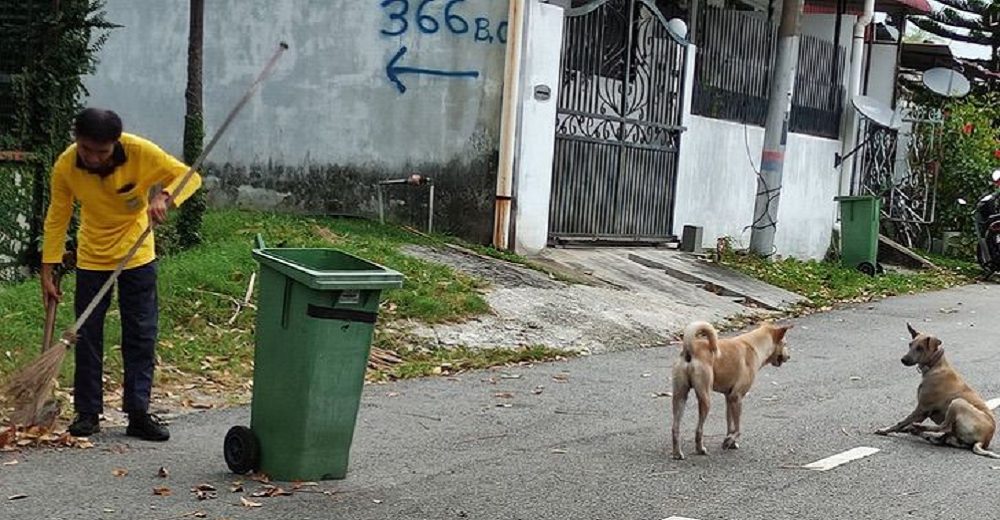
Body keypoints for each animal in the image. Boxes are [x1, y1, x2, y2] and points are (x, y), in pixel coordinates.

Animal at [668, 320, 792, 460]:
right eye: (785, 344)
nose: (789, 357)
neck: (753, 345)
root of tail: (690, 349)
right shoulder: (736, 397)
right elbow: (737, 428)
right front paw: (729, 440)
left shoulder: (729, 398)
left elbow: (730, 424)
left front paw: (730, 441)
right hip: (705, 398)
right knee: (698, 429)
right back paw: (700, 449)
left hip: (679, 397)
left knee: (675, 428)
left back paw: (677, 453)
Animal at [876, 324, 1000, 460]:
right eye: (910, 344)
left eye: (920, 348)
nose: (903, 359)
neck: (934, 366)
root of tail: (984, 441)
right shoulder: (922, 413)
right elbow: (905, 423)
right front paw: (904, 429)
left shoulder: (921, 408)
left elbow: (901, 422)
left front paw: (885, 430)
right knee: (943, 435)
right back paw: (922, 432)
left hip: (958, 402)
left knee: (945, 427)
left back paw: (919, 429)